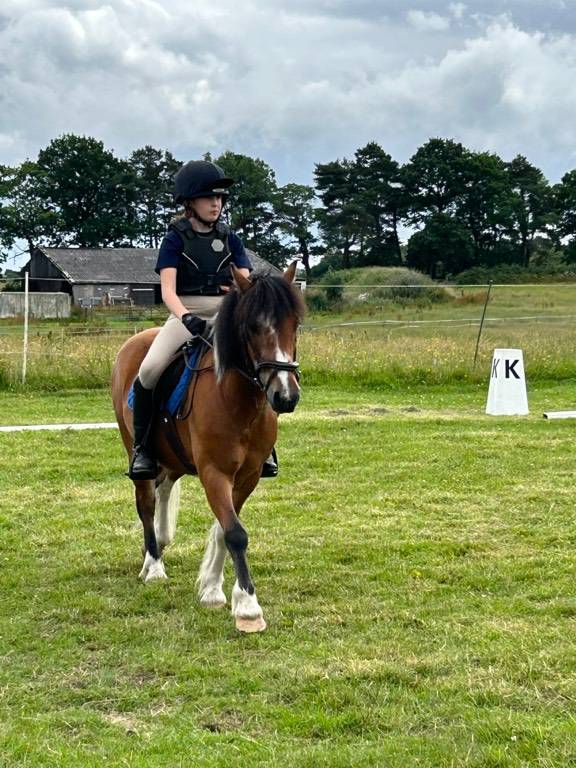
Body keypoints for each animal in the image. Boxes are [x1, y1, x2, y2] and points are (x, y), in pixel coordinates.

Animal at [111, 262, 305, 633]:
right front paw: (248, 608)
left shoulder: (248, 475)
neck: (238, 401)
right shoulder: (215, 472)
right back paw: (153, 564)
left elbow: (223, 529)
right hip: (134, 447)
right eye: (253, 327)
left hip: (173, 458)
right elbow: (235, 533)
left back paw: (161, 541)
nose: (285, 396)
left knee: (165, 487)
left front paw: (213, 591)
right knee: (146, 502)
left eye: (295, 325)